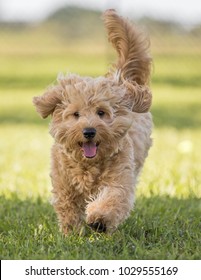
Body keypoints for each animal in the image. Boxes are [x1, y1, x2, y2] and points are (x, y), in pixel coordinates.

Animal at [33, 9, 152, 234]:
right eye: (76, 114)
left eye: (101, 112)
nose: (89, 131)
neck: (88, 165)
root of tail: (118, 79)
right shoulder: (64, 183)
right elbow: (68, 205)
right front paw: (72, 232)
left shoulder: (120, 177)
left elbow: (113, 198)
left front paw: (99, 220)